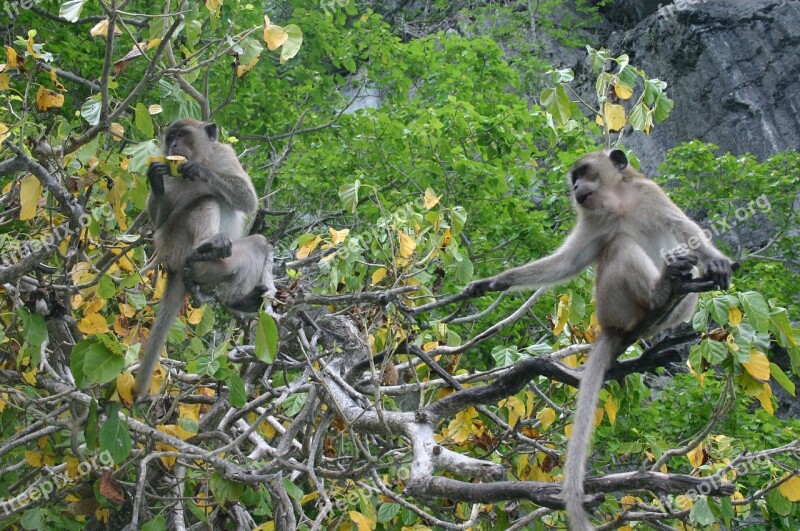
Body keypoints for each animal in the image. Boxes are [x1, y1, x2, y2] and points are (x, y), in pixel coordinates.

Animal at [138, 118, 272, 396]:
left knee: (257, 243)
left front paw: (201, 171)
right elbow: (158, 221)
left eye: (182, 135)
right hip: (173, 245)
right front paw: (155, 179)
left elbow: (247, 198)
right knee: (205, 201)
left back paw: (238, 299)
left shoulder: (225, 155)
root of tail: (173, 266)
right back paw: (206, 246)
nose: (173, 145)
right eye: (171, 137)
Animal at [466, 150, 736, 531]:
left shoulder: (649, 193)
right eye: (575, 177)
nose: (577, 186)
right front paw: (496, 282)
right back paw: (658, 291)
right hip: (612, 304)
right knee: (619, 243)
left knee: (666, 258)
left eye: (584, 172)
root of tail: (611, 325)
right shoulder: (594, 220)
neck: (618, 204)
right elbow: (567, 263)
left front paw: (716, 260)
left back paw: (668, 293)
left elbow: (688, 231)